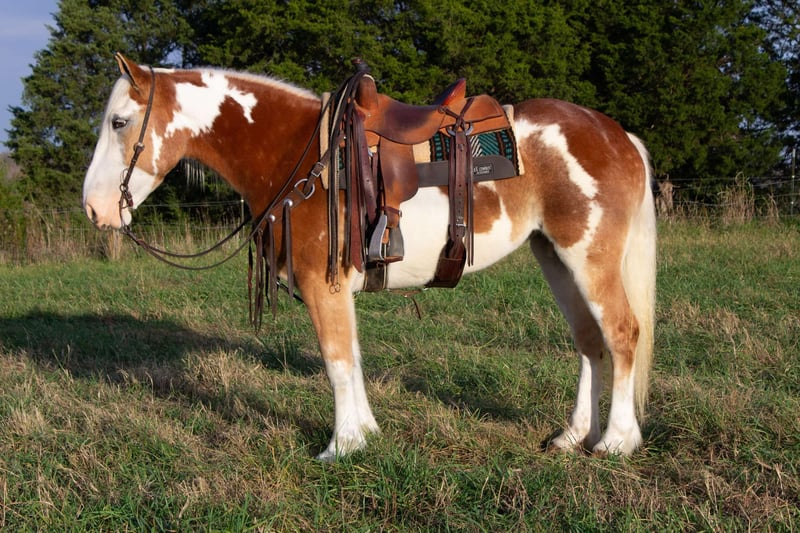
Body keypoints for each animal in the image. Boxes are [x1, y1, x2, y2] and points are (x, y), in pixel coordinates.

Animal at [83, 54, 656, 461]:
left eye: (119, 122)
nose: (93, 208)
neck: (302, 158)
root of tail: (617, 134)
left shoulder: (324, 286)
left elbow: (336, 362)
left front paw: (341, 447)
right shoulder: (338, 290)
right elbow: (352, 359)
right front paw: (365, 435)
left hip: (588, 257)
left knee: (622, 333)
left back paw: (616, 442)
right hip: (555, 257)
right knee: (589, 342)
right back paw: (574, 436)